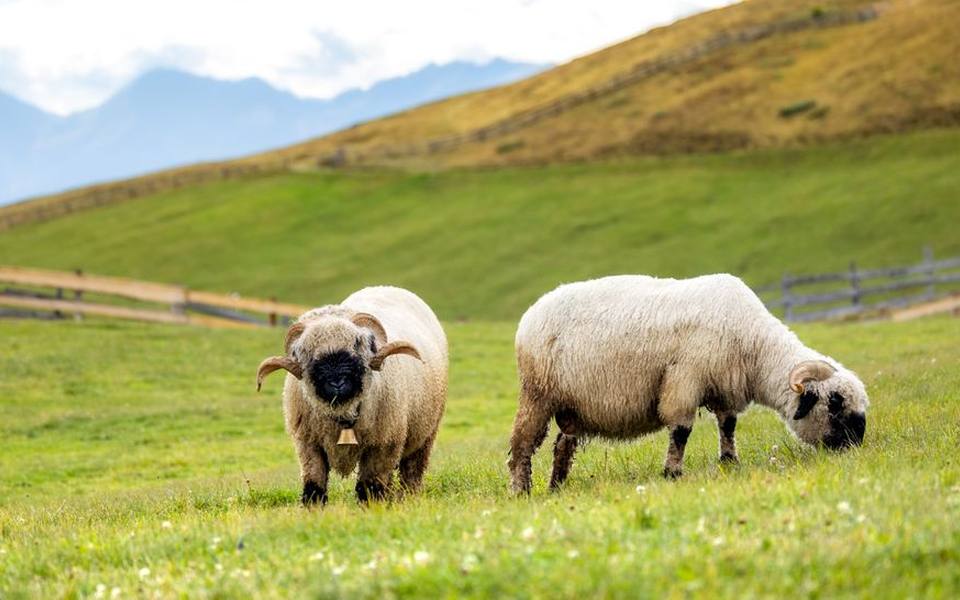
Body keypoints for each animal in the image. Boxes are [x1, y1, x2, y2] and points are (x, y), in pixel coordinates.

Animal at [256, 286, 447, 504]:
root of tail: (387, 286)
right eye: (305, 351)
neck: (344, 414)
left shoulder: (382, 446)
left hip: (425, 435)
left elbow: (369, 488)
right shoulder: (309, 444)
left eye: (357, 343)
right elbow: (314, 487)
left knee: (412, 472)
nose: (337, 382)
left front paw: (374, 508)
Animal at [508, 274, 868, 493]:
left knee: (563, 445)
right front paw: (672, 473)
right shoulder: (685, 379)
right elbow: (681, 430)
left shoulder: (723, 387)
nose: (856, 447)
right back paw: (522, 490)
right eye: (835, 403)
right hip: (537, 393)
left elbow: (728, 425)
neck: (754, 346)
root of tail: (530, 314)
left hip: (570, 405)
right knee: (522, 445)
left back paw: (557, 486)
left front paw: (729, 462)